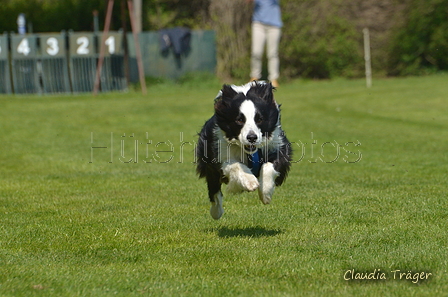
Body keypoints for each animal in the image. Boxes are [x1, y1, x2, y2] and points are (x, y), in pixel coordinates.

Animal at [197, 82, 294, 219]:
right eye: (239, 120)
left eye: (259, 119)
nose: (252, 138)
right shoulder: (220, 153)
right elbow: (235, 165)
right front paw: (250, 182)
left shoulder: (278, 144)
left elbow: (270, 165)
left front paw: (265, 193)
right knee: (214, 190)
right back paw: (216, 212)